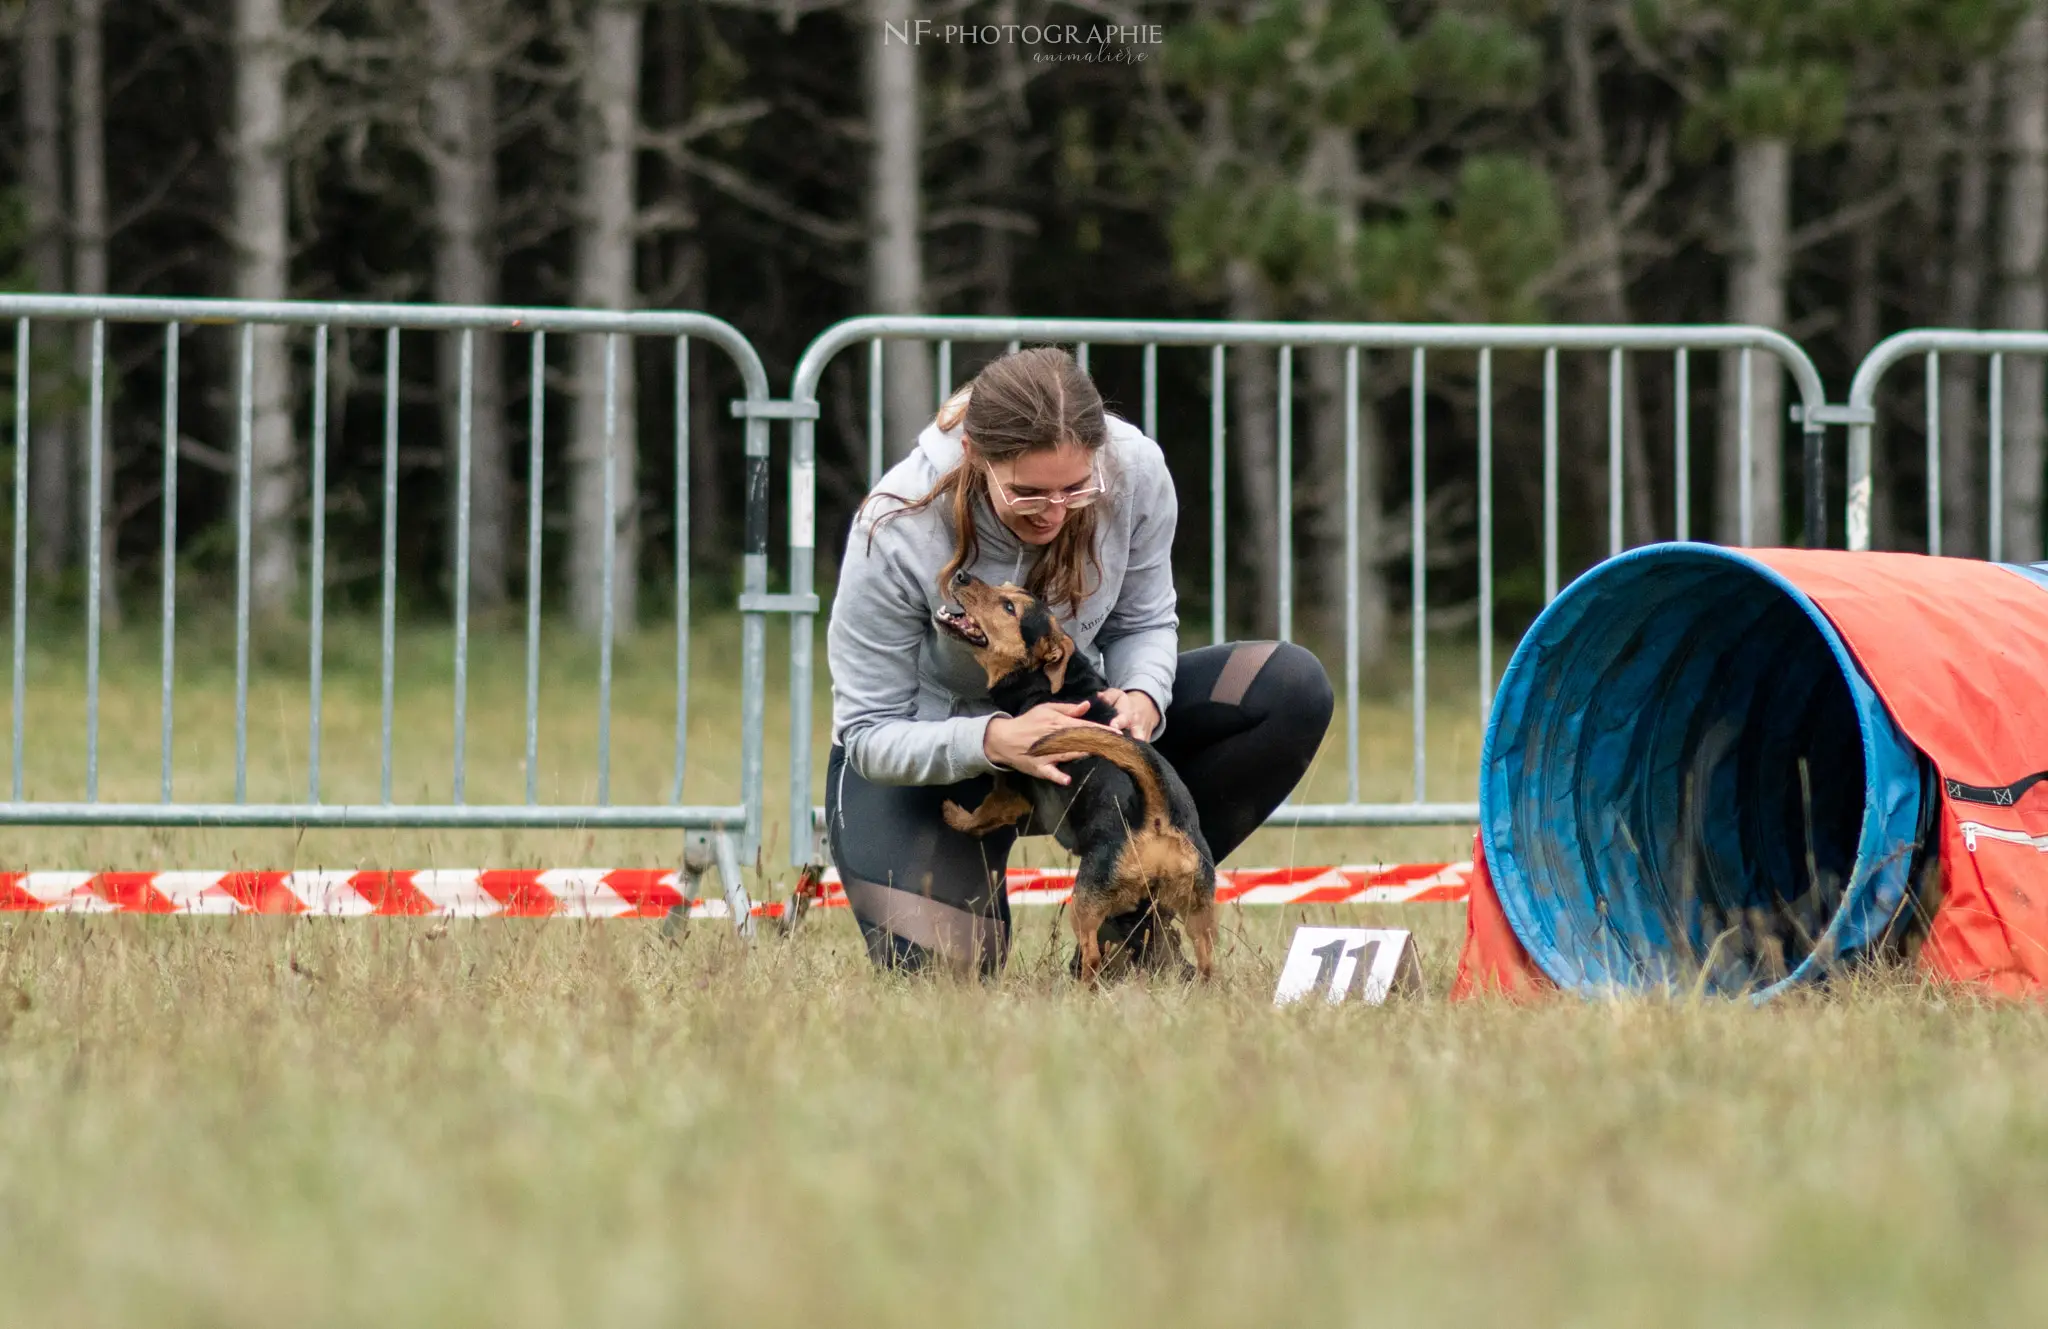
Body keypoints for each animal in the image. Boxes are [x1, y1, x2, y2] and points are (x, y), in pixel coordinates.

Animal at [937, 569, 1220, 982]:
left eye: (1009, 607)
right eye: (1006, 590)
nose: (960, 574)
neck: (1055, 682)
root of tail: (1156, 815)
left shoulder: (1011, 791)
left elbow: (980, 817)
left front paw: (954, 815)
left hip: (1086, 899)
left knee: (1091, 954)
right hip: (1197, 906)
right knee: (1206, 959)